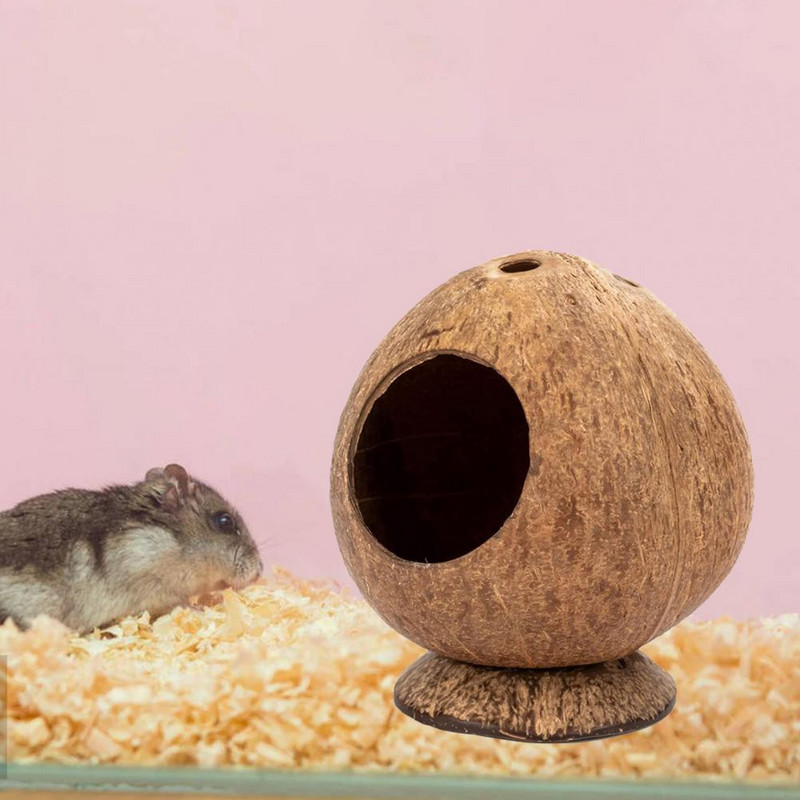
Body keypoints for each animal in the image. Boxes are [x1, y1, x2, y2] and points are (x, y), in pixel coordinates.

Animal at [0, 463, 263, 633]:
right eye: (224, 521)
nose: (259, 572)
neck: (172, 540)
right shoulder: (153, 586)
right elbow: (179, 603)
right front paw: (200, 610)